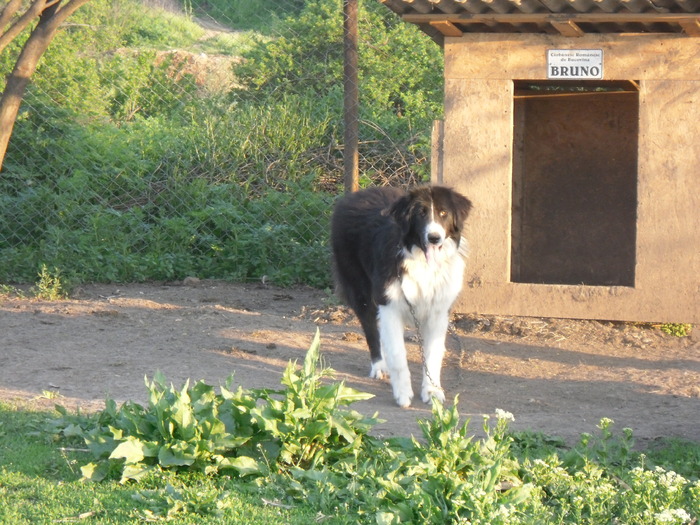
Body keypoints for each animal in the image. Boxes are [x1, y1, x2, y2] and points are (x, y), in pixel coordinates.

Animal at [330, 186, 474, 408]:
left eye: (443, 213)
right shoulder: (390, 305)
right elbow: (398, 354)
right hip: (361, 291)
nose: (434, 238)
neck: (422, 262)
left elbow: (433, 355)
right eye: (421, 214)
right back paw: (379, 365)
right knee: (371, 330)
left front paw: (432, 391)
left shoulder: (438, 312)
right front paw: (403, 394)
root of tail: (357, 194)